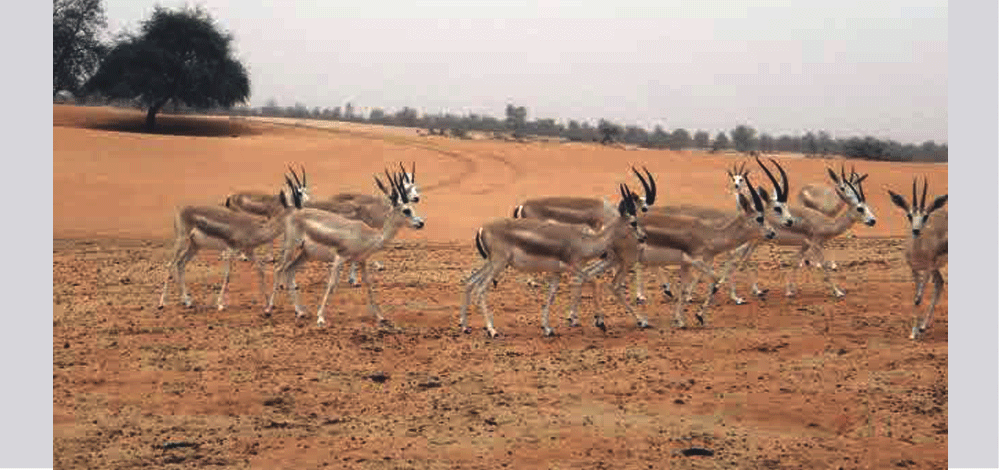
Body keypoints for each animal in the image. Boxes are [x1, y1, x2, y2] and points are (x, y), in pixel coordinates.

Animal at [158, 171, 303, 311]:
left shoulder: (249, 251)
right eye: (295, 212)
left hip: (194, 246)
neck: (254, 229)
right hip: (182, 240)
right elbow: (227, 277)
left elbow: (261, 270)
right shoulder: (230, 251)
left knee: (180, 265)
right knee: (170, 265)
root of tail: (180, 211)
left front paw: (268, 303)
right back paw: (162, 303)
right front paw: (220, 305)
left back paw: (187, 302)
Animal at [264, 170, 425, 328]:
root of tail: (294, 213)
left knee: (290, 271)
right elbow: (332, 284)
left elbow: (368, 285)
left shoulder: (361, 261)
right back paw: (269, 309)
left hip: (305, 254)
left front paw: (380, 317)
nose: (421, 223)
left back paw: (300, 312)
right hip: (292, 247)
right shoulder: (340, 257)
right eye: (406, 210)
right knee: (279, 269)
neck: (368, 236)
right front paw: (320, 317)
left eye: (413, 208)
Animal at [461, 184, 647, 338]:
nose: (643, 237)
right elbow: (592, 281)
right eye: (633, 222)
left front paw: (548, 329)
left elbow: (551, 295)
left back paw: (465, 327)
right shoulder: (574, 266)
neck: (583, 241)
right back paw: (492, 330)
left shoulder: (557, 272)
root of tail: (482, 229)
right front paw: (600, 322)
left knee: (470, 281)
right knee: (481, 288)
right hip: (498, 265)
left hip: (491, 263)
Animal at [580, 173, 778, 328]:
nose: (772, 233)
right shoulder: (696, 261)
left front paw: (680, 320)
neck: (708, 234)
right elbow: (715, 281)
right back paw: (641, 321)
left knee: (588, 274)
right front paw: (699, 316)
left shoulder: (685, 265)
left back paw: (598, 321)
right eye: (759, 218)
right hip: (627, 262)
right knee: (614, 286)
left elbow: (683, 290)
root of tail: (611, 225)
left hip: (612, 260)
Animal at [888, 177, 947, 340]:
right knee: (940, 283)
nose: (916, 230)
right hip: (935, 269)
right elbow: (916, 298)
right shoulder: (914, 269)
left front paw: (915, 333)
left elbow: (919, 298)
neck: (918, 251)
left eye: (925, 216)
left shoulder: (927, 269)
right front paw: (914, 332)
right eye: (909, 215)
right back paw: (923, 327)